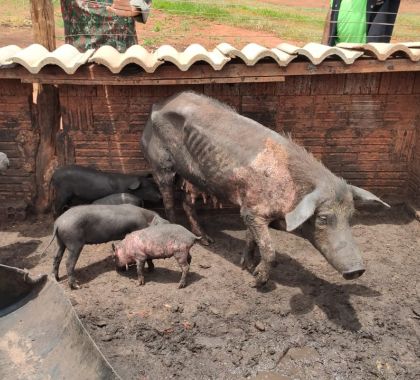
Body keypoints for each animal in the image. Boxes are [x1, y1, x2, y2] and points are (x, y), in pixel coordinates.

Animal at [141, 92, 390, 286]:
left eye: (351, 216)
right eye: (323, 218)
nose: (357, 270)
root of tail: (158, 103)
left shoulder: (250, 207)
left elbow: (252, 239)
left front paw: (246, 265)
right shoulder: (252, 211)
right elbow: (270, 250)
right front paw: (257, 281)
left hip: (192, 177)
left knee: (188, 202)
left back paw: (207, 240)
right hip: (160, 164)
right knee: (168, 200)